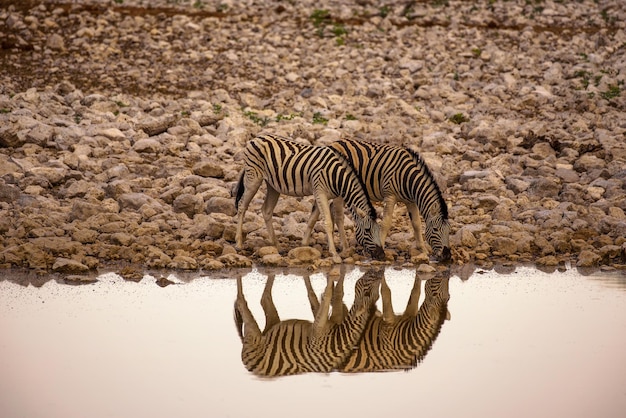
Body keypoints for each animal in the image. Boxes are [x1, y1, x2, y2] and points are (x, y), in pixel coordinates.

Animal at [233, 135, 382, 262]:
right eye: (367, 230)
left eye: (378, 230)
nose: (382, 255)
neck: (337, 176)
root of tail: (257, 137)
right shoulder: (320, 192)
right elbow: (328, 222)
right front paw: (334, 254)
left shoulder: (322, 194)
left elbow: (312, 219)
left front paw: (304, 245)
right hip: (253, 178)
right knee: (242, 206)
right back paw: (239, 243)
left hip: (272, 185)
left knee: (266, 210)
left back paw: (277, 246)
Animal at [233, 270, 380, 378]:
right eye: (367, 292)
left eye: (375, 295)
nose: (379, 272)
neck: (337, 338)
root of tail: (252, 369)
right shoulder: (318, 330)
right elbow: (326, 295)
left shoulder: (320, 327)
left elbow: (323, 296)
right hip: (254, 337)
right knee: (243, 301)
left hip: (267, 329)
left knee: (261, 299)